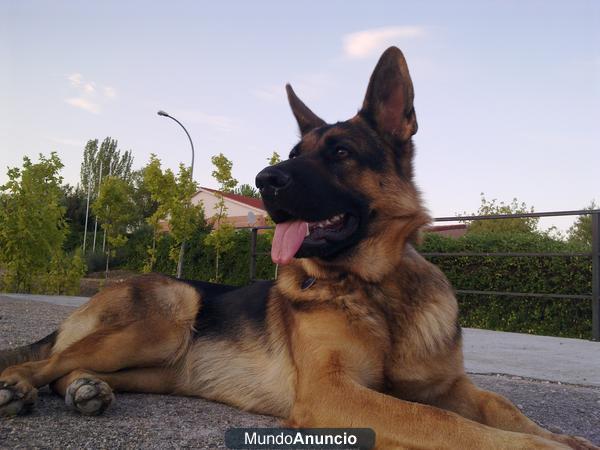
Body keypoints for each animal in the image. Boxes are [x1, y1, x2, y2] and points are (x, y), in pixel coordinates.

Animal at [0, 47, 596, 448]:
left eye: (339, 152)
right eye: (291, 154)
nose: (264, 180)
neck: (375, 290)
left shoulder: (448, 385)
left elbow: (500, 404)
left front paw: (564, 438)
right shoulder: (333, 393)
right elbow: (446, 422)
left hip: (158, 364)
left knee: (65, 369)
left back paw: (86, 389)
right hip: (166, 319)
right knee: (47, 362)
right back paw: (17, 386)